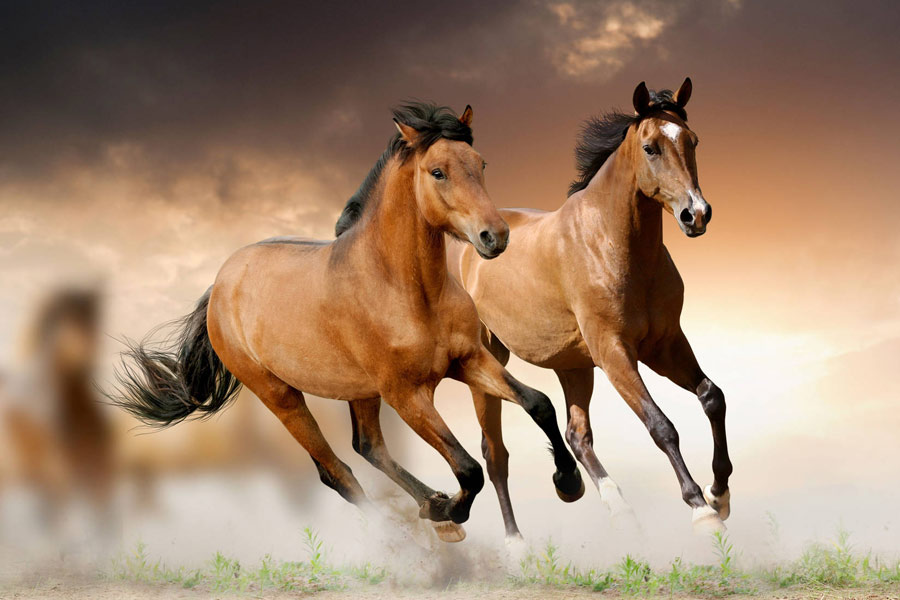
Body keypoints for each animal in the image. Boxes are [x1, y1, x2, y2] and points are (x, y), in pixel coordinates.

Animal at [111, 102, 583, 543]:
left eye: (481, 163)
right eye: (437, 172)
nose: (495, 237)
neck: (407, 289)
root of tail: (220, 285)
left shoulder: (468, 360)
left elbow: (538, 403)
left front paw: (568, 482)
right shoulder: (406, 394)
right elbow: (468, 468)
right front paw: (452, 510)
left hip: (360, 391)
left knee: (368, 446)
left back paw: (430, 505)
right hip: (281, 395)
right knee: (336, 472)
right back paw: (415, 531)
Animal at [448, 79, 732, 538]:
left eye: (692, 141)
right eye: (650, 147)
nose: (697, 214)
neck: (611, 243)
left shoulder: (665, 344)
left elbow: (712, 397)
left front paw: (719, 493)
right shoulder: (615, 352)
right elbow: (661, 425)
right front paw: (700, 508)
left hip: (573, 366)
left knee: (577, 435)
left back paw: (609, 503)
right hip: (488, 362)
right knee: (495, 455)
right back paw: (516, 542)